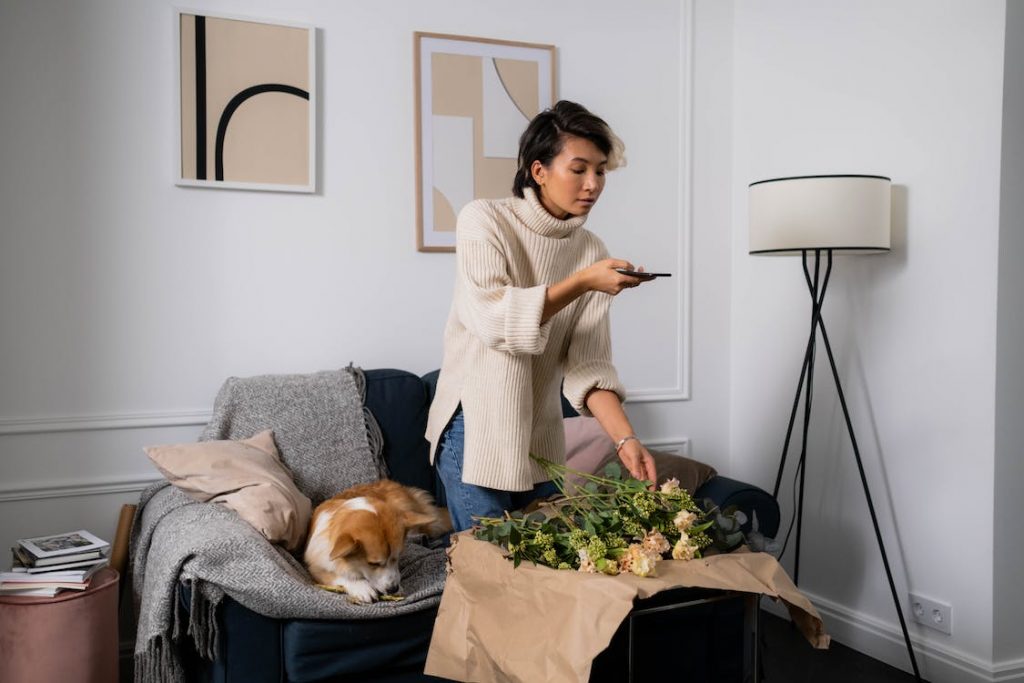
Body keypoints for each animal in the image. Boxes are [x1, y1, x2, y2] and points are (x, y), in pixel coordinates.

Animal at [303, 481, 448, 602]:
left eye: (398, 557)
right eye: (373, 563)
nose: (393, 589)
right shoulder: (315, 569)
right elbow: (339, 576)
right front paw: (361, 587)